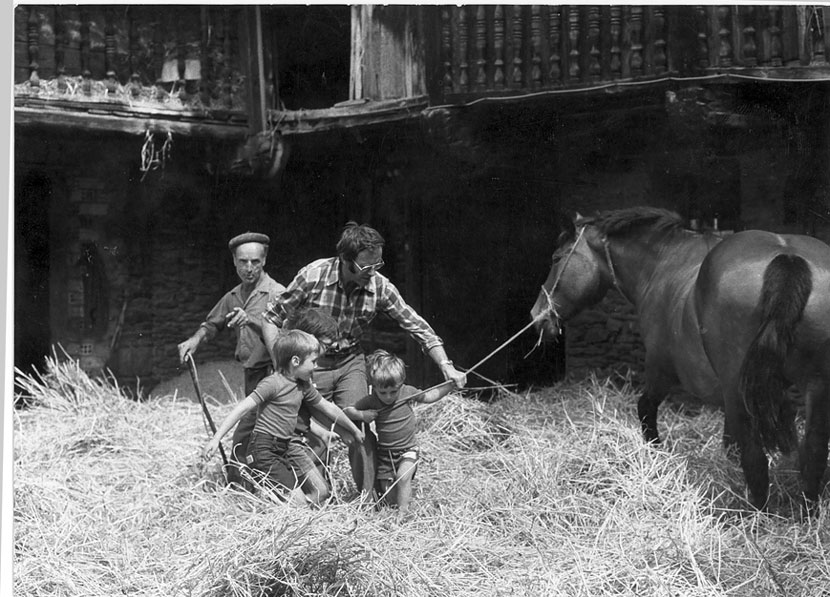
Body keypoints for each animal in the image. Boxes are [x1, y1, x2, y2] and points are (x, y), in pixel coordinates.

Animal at [532, 207, 830, 510]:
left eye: (557, 258)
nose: (537, 315)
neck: (665, 264)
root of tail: (787, 257)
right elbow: (730, 441)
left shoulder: (659, 369)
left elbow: (645, 408)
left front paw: (655, 453)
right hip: (817, 388)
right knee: (813, 455)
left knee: (756, 460)